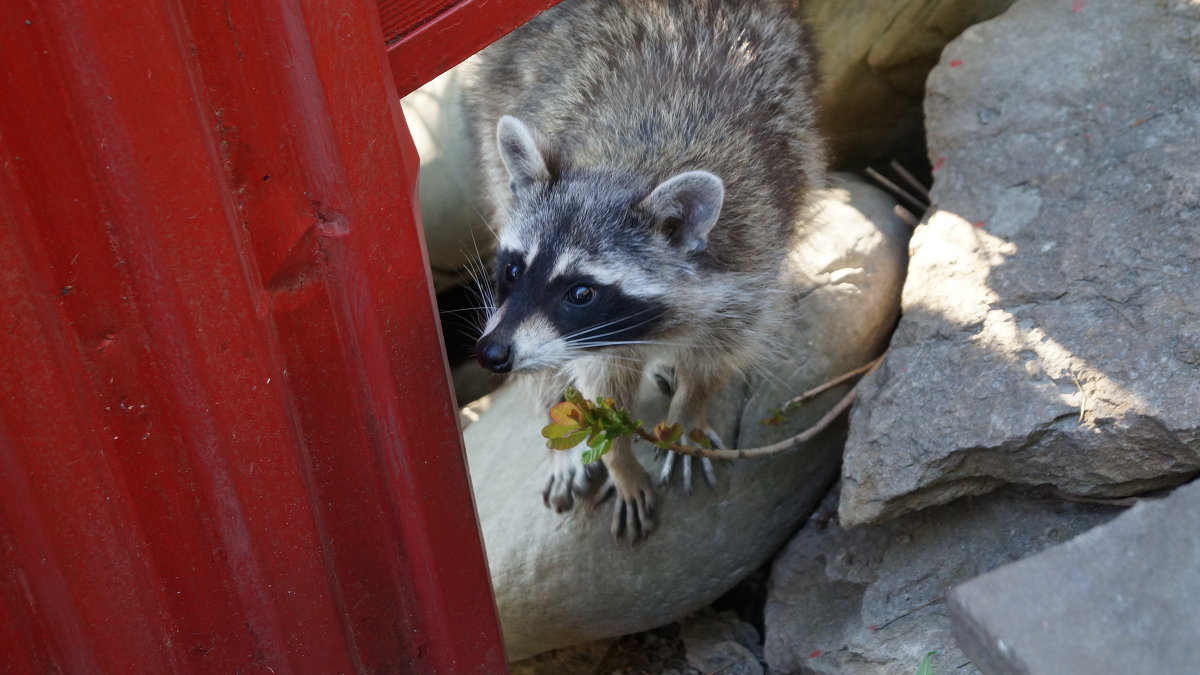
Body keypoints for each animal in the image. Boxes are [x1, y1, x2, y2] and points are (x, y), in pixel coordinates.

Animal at [465, 0, 825, 538]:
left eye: (580, 292)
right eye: (512, 270)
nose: (492, 354)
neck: (629, 163)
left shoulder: (754, 250)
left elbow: (719, 352)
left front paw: (689, 411)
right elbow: (603, 390)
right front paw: (618, 458)